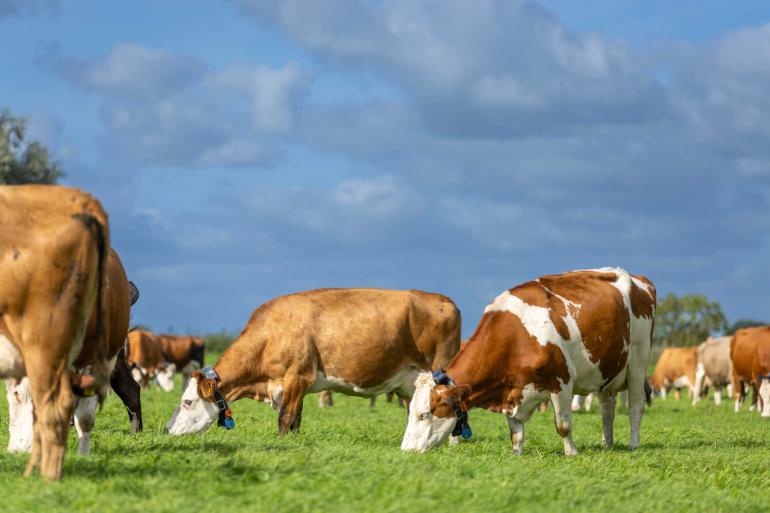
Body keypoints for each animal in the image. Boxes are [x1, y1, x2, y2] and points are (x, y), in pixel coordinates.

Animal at [167, 288, 461, 436]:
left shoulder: (297, 377)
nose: (167, 428)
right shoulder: (297, 386)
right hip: (408, 384)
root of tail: (444, 300)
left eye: (187, 401)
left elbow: (285, 418)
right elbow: (296, 420)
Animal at [400, 268, 656, 456]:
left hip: (639, 359)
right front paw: (517, 454)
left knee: (636, 405)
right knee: (607, 408)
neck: (514, 335)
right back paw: (607, 443)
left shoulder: (562, 380)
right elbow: (515, 431)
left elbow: (563, 425)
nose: (406, 451)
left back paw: (633, 445)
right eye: (410, 412)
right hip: (608, 368)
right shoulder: (511, 390)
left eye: (424, 414)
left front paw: (572, 453)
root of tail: (638, 279)